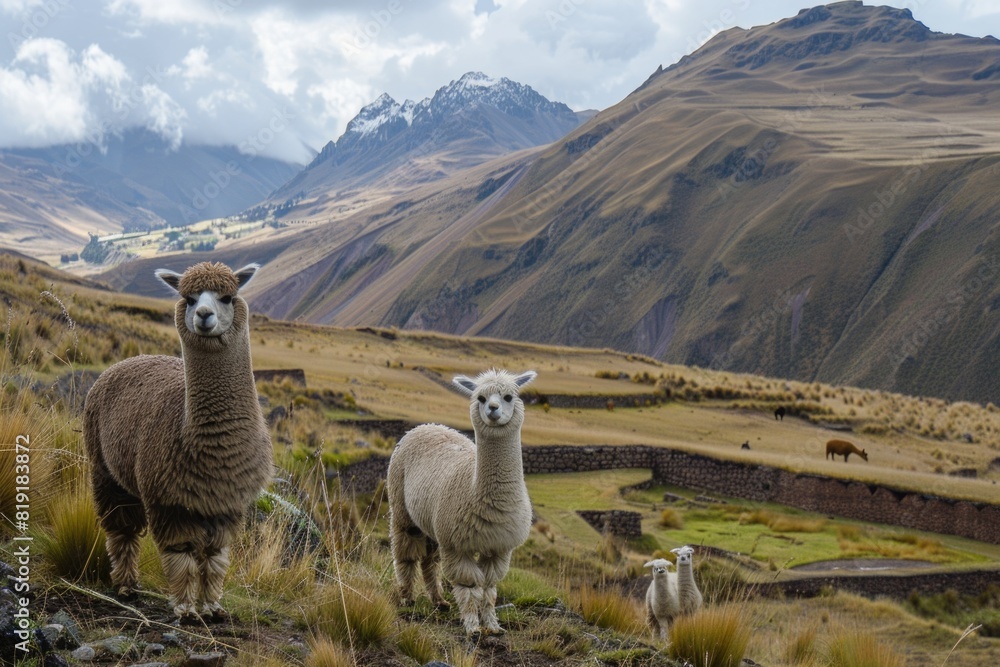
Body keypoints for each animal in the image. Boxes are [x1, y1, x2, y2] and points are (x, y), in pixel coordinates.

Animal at [83, 262, 273, 622]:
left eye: (227, 297)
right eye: (189, 297)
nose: (203, 315)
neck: (214, 452)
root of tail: (133, 358)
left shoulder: (227, 503)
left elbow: (215, 557)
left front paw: (212, 607)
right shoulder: (168, 500)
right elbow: (181, 555)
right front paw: (185, 609)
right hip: (103, 469)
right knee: (121, 528)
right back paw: (126, 585)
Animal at [387, 368, 537, 635]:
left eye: (508, 397)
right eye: (480, 398)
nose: (493, 409)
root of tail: (427, 425)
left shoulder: (498, 547)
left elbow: (489, 589)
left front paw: (493, 626)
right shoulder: (458, 545)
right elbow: (469, 588)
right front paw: (472, 627)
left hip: (435, 522)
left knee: (430, 561)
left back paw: (439, 601)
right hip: (402, 507)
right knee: (405, 552)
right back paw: (407, 597)